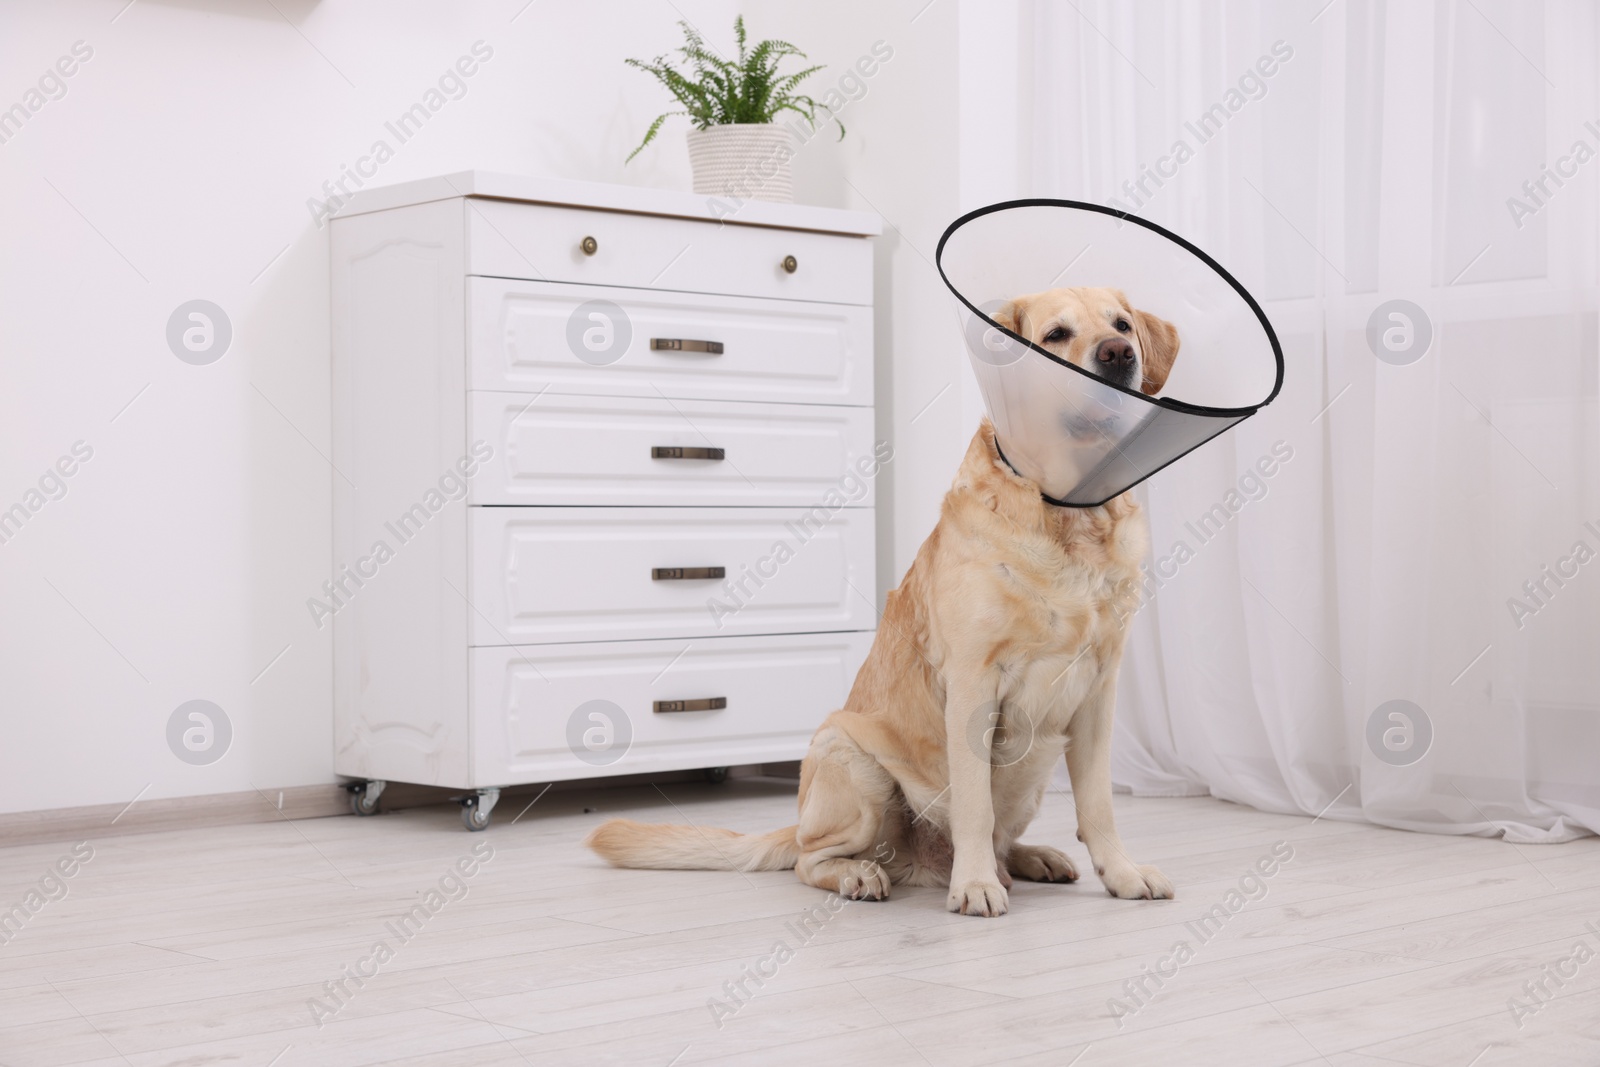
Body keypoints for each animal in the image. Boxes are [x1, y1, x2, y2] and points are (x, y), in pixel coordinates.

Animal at [588, 286, 1177, 921]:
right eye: (1056, 335)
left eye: (1121, 325)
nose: (1118, 354)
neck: (1069, 515)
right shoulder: (973, 685)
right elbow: (974, 804)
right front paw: (974, 886)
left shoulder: (1097, 693)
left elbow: (1098, 806)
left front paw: (1122, 874)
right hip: (851, 758)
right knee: (810, 858)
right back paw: (866, 874)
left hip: (1031, 778)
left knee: (1001, 838)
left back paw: (1031, 858)